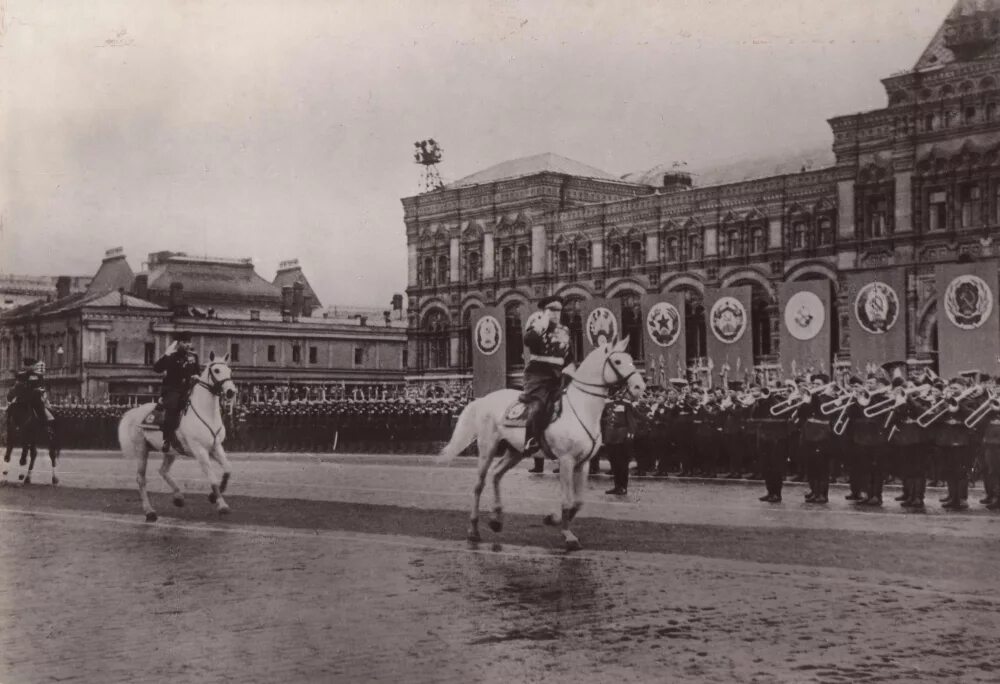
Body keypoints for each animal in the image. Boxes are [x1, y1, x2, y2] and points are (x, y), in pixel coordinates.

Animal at [116, 350, 237, 520]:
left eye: (230, 371)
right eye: (217, 370)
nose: (231, 392)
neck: (207, 414)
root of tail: (135, 411)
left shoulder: (216, 447)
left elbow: (228, 469)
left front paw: (213, 496)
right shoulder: (200, 450)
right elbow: (212, 477)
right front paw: (222, 505)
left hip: (170, 451)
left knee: (163, 470)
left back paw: (178, 497)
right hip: (142, 450)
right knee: (141, 479)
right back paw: (150, 511)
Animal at [440, 340, 644, 552]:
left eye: (631, 358)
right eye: (618, 361)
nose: (640, 386)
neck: (582, 408)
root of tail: (484, 399)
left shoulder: (583, 463)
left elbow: (578, 502)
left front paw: (553, 519)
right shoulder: (566, 461)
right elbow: (567, 500)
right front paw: (568, 535)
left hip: (516, 451)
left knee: (496, 474)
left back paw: (496, 519)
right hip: (488, 447)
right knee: (479, 485)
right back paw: (473, 530)